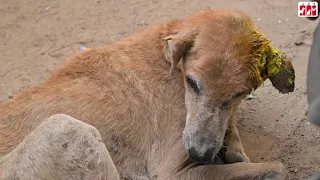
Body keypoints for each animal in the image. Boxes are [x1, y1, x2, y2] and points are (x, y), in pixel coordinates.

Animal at [0, 10, 296, 180]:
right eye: (192, 83)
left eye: (240, 93)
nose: (199, 153)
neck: (170, 61)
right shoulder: (171, 173)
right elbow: (279, 168)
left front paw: (233, 146)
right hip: (70, 129)